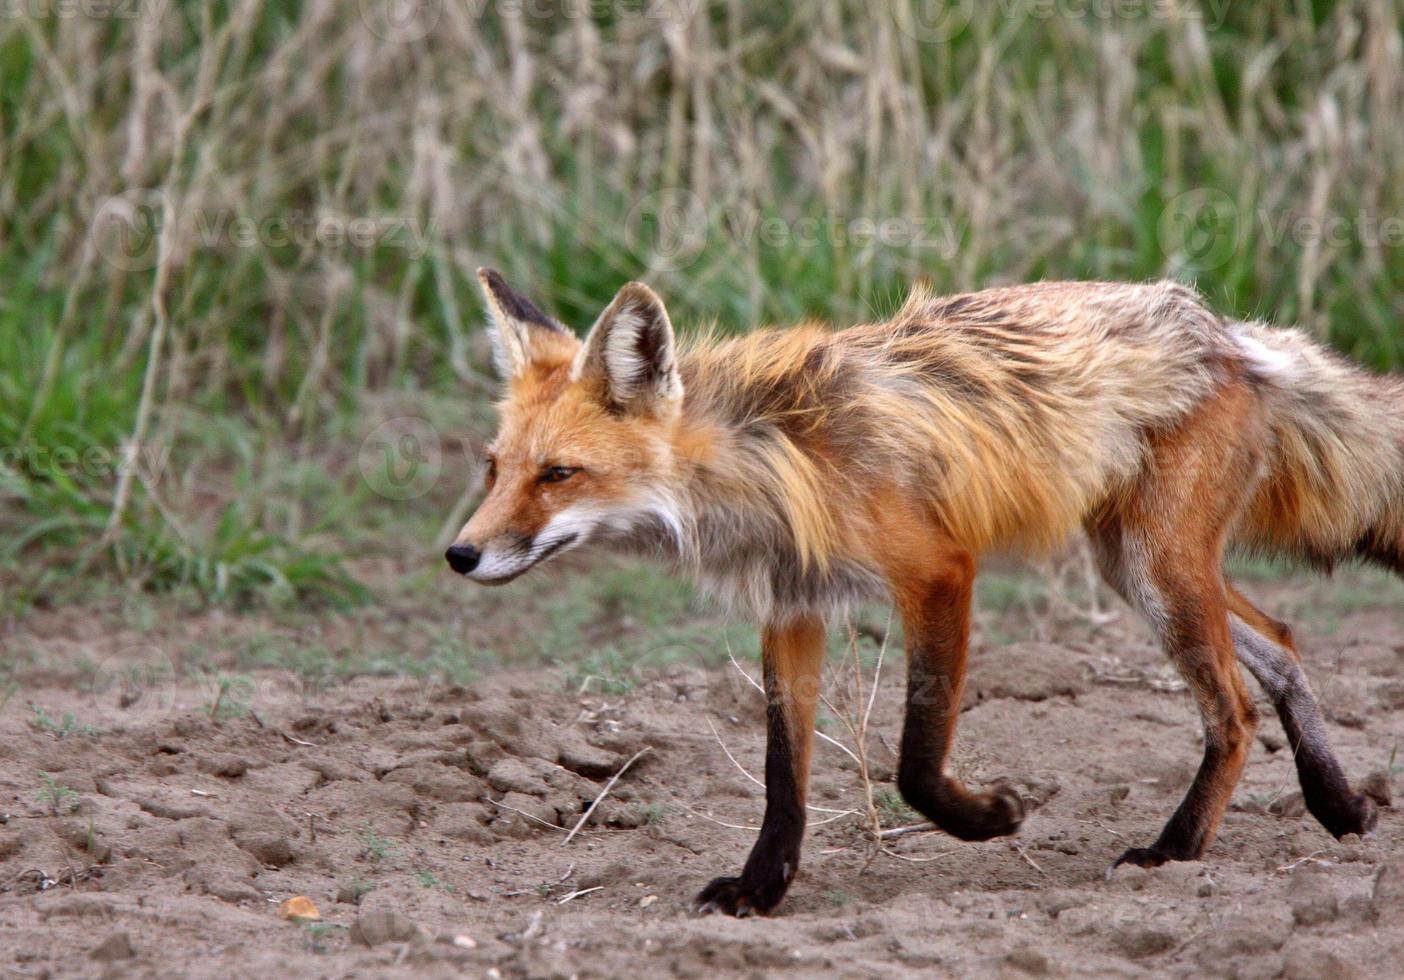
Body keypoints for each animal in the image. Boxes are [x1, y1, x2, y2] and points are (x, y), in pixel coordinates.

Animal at [449, 265, 1392, 909]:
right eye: (494, 469)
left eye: (559, 474)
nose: (459, 555)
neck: (766, 454)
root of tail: (1228, 330)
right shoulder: (795, 605)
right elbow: (783, 774)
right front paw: (762, 888)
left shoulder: (938, 573)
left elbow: (912, 759)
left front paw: (990, 818)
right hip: (1134, 566)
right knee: (1282, 645)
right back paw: (1339, 807)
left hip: (1160, 570)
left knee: (1232, 710)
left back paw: (1176, 853)